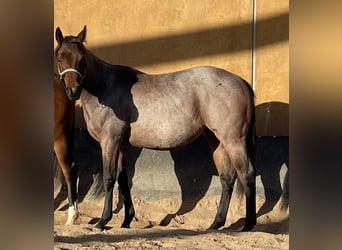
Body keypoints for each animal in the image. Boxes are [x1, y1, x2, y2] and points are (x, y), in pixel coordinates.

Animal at [54, 26, 255, 231]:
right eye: (60, 58)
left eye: (82, 58)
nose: (73, 90)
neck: (105, 87)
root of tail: (241, 81)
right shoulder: (119, 145)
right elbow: (123, 181)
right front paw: (126, 221)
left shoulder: (109, 142)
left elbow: (109, 179)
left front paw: (103, 221)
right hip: (216, 140)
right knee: (227, 178)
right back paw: (215, 224)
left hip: (233, 140)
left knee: (246, 174)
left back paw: (248, 225)